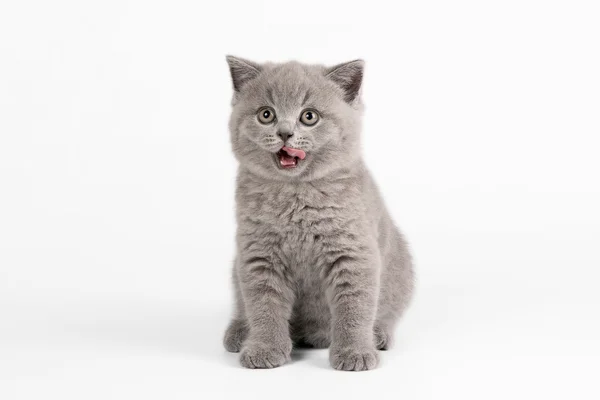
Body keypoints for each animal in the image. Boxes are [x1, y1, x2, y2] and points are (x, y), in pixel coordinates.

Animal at [223, 56, 414, 372]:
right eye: (266, 114)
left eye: (309, 116)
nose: (285, 132)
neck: (295, 195)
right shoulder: (257, 254)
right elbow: (263, 305)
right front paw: (264, 348)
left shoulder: (353, 253)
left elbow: (354, 306)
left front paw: (354, 352)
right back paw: (239, 333)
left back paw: (378, 335)